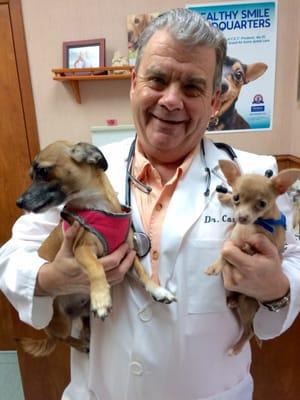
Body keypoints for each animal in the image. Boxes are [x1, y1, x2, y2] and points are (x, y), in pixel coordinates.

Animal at [15, 141, 176, 356]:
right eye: (31, 175)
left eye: (43, 171)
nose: (19, 202)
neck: (97, 205)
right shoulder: (83, 250)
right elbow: (96, 267)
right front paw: (101, 298)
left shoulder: (128, 252)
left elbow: (142, 272)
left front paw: (158, 290)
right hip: (61, 322)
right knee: (62, 338)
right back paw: (83, 344)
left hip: (79, 314)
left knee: (81, 325)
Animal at [205, 160, 300, 356]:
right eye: (236, 198)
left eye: (262, 204)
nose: (241, 217)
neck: (257, 223)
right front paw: (224, 197)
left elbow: (231, 253)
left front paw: (216, 266)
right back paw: (232, 300)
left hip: (247, 306)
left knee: (249, 331)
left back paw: (235, 348)